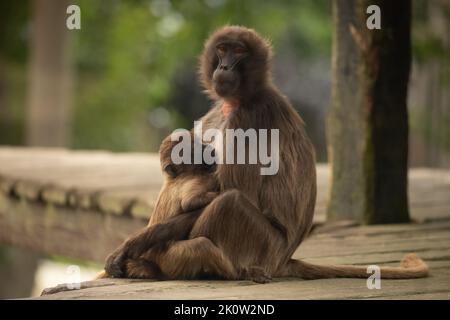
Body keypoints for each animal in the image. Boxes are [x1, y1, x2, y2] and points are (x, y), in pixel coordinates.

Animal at [105, 134, 218, 278]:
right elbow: (189, 202)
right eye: (194, 151)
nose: (208, 149)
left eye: (200, 144)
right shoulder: (198, 177)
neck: (174, 178)